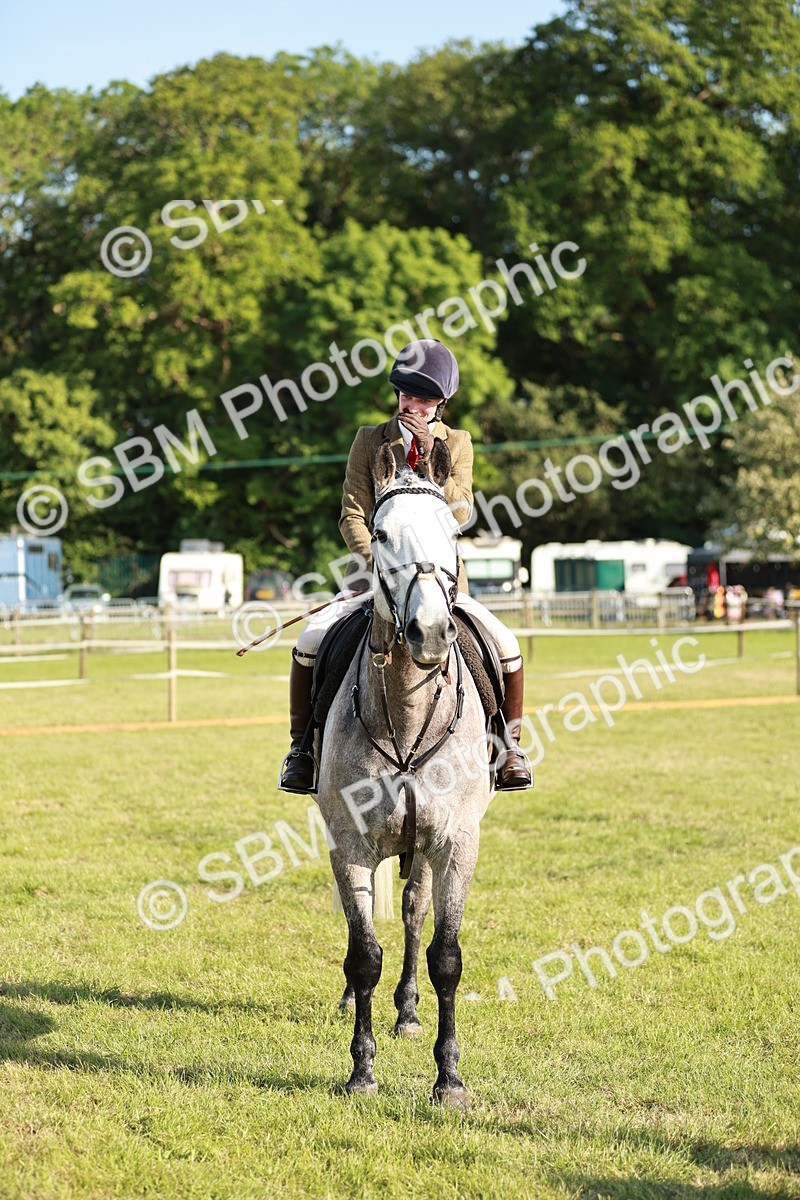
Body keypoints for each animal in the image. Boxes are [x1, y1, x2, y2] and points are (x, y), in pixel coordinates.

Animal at [315, 439, 492, 1108]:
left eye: (455, 530)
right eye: (381, 533)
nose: (432, 633)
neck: (409, 707)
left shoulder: (455, 843)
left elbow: (446, 956)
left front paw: (450, 1079)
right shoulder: (350, 846)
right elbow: (364, 953)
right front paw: (362, 1071)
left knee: (415, 913)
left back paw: (409, 1011)